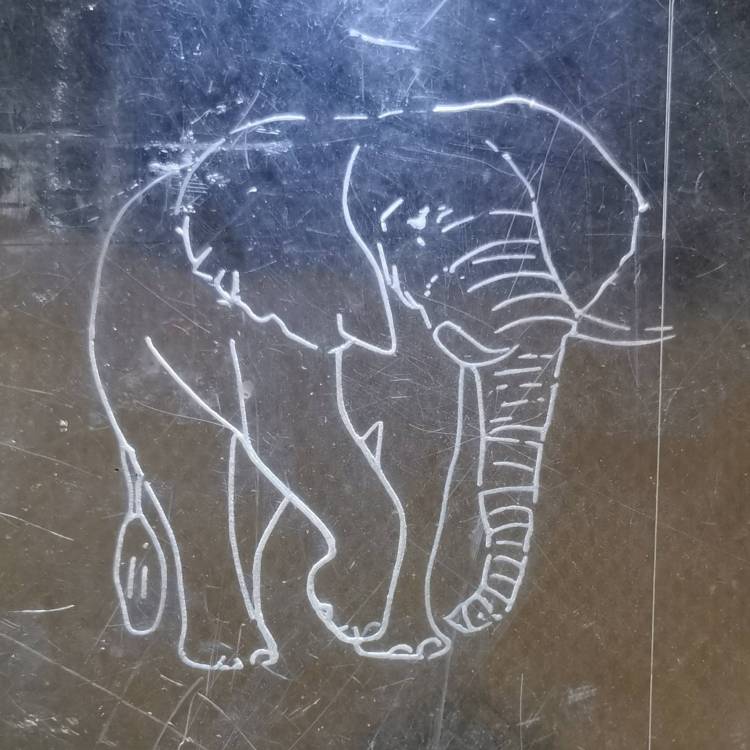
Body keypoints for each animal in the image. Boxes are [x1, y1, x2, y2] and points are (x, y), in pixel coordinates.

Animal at [89, 96, 670, 670]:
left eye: (540, 219)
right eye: (411, 228)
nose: (467, 616)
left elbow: (425, 454)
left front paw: (407, 645)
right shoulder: (276, 304)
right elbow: (302, 429)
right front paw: (343, 608)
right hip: (132, 341)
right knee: (192, 469)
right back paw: (230, 656)